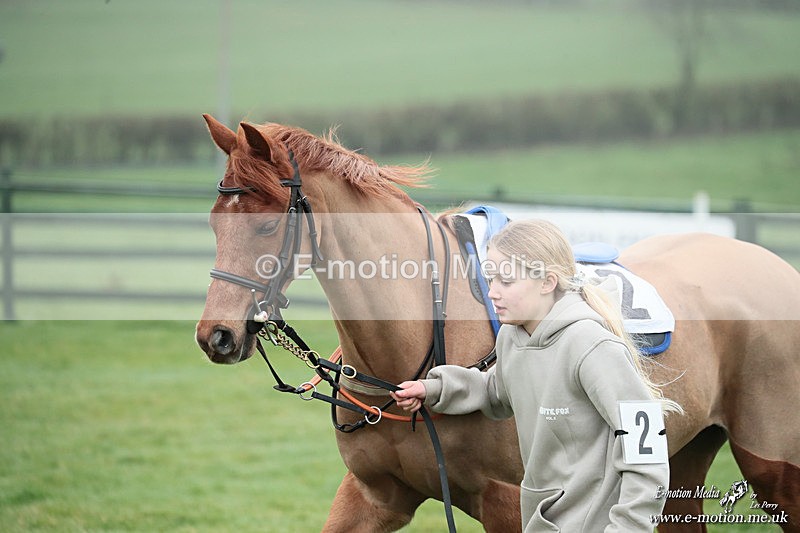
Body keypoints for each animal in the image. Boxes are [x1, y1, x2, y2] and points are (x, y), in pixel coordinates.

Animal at [194, 114, 800, 532]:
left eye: (267, 226)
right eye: (215, 222)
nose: (215, 336)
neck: (418, 343)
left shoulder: (510, 503)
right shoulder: (372, 496)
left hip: (775, 469)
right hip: (680, 463)